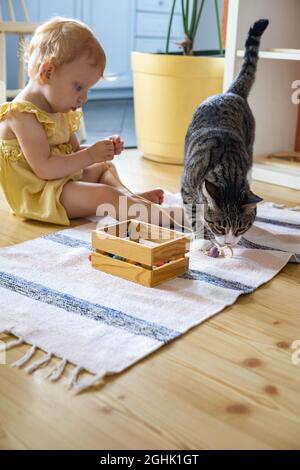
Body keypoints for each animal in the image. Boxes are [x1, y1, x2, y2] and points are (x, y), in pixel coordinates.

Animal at [180, 18, 270, 248]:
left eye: (241, 228)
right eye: (219, 227)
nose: (229, 243)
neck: (228, 170)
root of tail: (231, 92)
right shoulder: (187, 188)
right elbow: (194, 214)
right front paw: (202, 240)